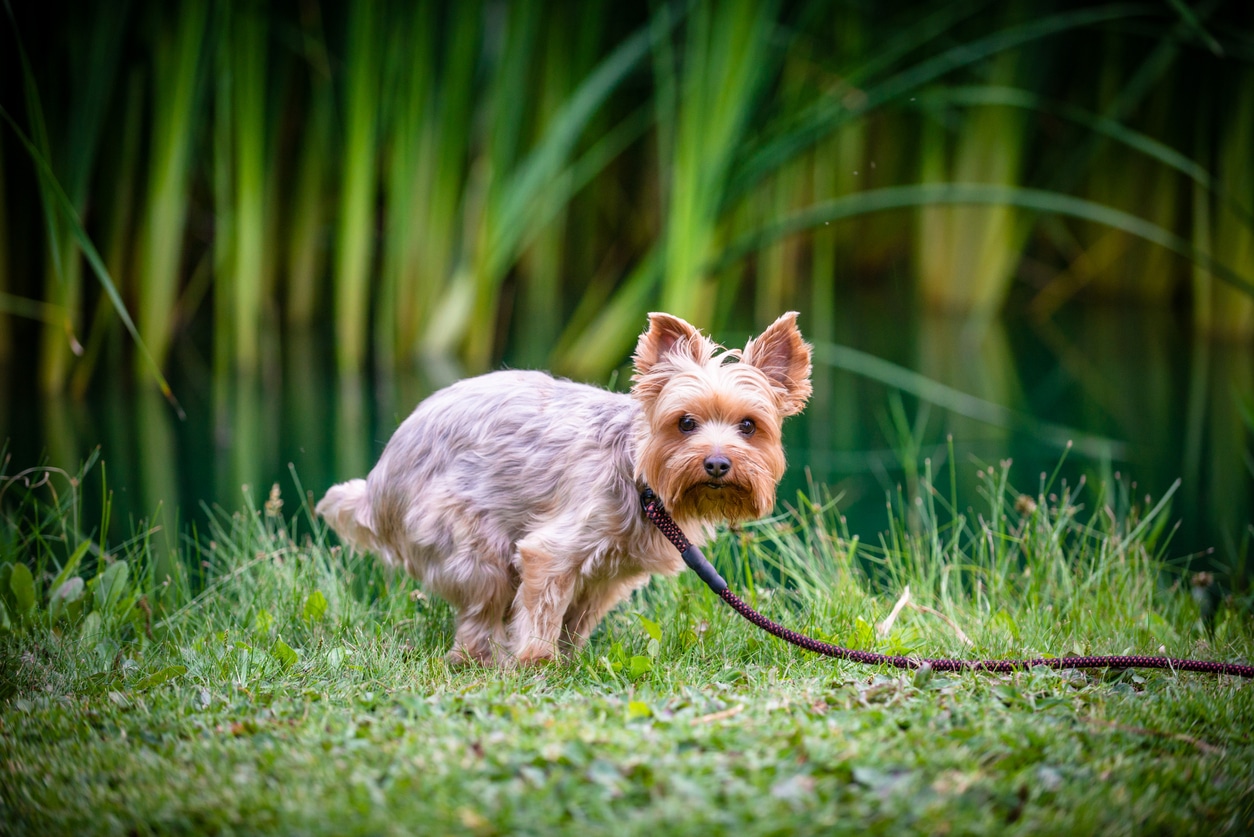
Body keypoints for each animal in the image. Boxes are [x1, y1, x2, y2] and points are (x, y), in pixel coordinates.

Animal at [316, 311, 812, 662]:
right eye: (685, 423)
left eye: (748, 426)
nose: (717, 463)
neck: (640, 477)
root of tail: (379, 484)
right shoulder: (552, 551)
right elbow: (542, 610)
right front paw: (537, 661)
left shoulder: (607, 577)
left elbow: (577, 619)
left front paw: (570, 660)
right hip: (468, 539)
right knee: (480, 611)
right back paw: (480, 658)